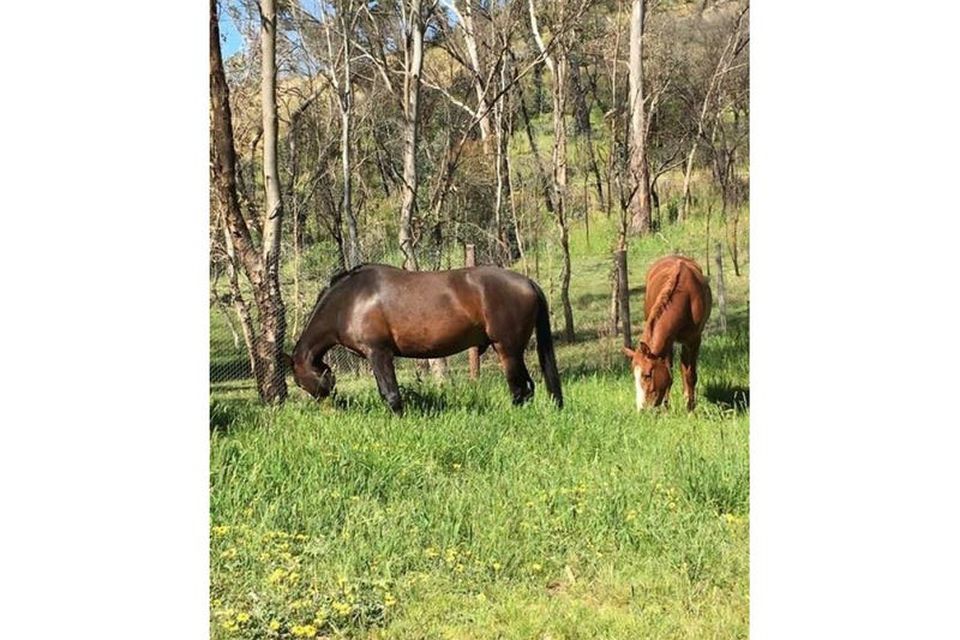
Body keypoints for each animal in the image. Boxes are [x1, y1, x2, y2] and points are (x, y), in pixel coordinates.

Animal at [288, 262, 568, 412]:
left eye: (300, 383)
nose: (333, 408)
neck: (350, 300)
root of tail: (528, 282)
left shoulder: (378, 353)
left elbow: (391, 394)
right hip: (513, 351)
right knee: (526, 388)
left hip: (507, 349)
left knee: (520, 389)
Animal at [624, 255, 712, 410]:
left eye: (647, 375)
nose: (641, 409)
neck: (686, 299)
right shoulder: (667, 343)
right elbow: (669, 374)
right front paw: (666, 407)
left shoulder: (694, 340)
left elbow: (690, 375)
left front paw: (690, 408)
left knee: (685, 368)